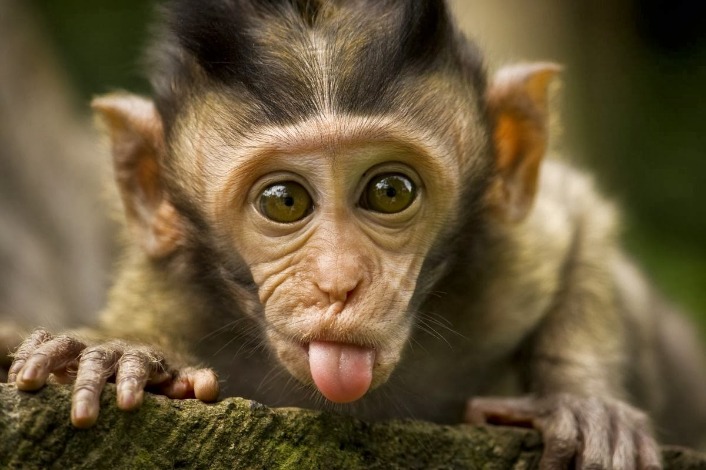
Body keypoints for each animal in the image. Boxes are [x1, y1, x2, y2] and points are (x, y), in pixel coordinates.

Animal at [7, 0, 706, 468]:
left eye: (389, 192)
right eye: (284, 201)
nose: (339, 283)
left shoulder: (509, 263)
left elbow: (580, 219)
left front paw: (582, 402)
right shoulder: (170, 292)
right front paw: (123, 354)